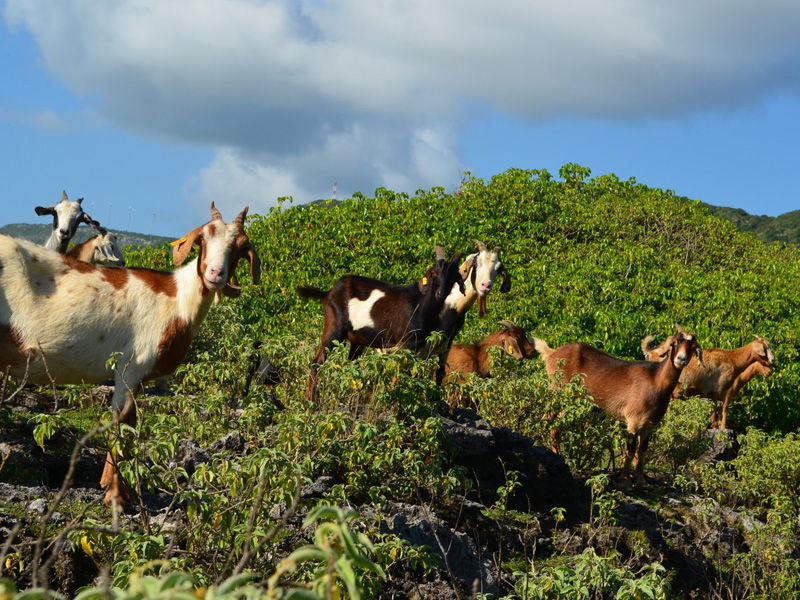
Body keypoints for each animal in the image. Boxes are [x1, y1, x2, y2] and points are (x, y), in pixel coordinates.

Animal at [0, 203, 258, 506]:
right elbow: (121, 426)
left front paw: (128, 493)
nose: (215, 274)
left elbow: (131, 426)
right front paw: (116, 498)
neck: (178, 300)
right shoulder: (131, 367)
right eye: (203, 239)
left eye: (240, 247)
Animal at [536, 328, 700, 488]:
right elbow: (630, 449)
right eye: (674, 343)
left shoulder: (650, 425)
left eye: (692, 347)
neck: (656, 381)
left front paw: (642, 481)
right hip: (561, 395)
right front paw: (625, 481)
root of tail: (551, 353)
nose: (681, 359)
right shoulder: (633, 421)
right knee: (550, 422)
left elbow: (642, 450)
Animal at [640, 332, 772, 426]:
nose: (772, 362)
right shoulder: (720, 391)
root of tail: (649, 353)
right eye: (765, 349)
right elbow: (719, 412)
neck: (732, 359)